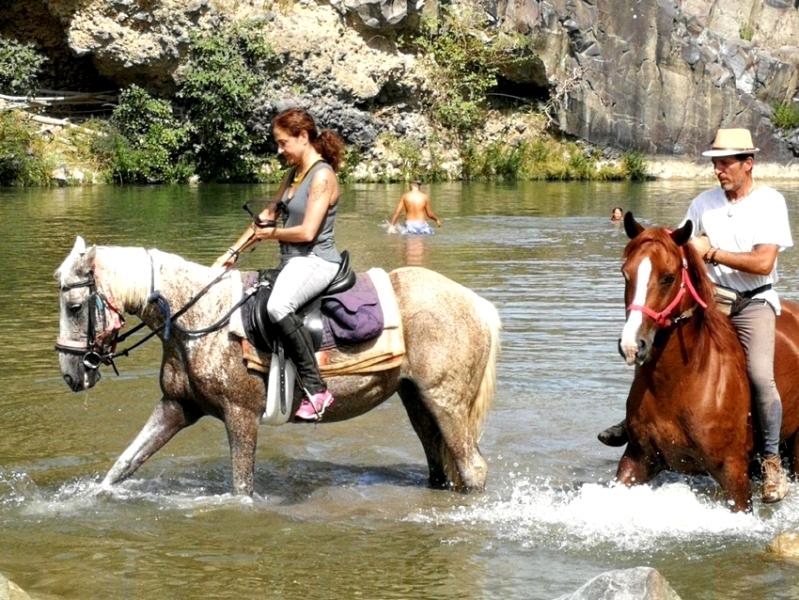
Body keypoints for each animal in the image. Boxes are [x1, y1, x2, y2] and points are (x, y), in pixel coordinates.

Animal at [53, 239, 500, 496]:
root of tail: (478, 305)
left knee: (473, 468)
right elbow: (122, 466)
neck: (201, 318)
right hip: (417, 401)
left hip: (446, 401)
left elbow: (241, 488)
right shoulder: (176, 407)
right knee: (440, 464)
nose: (72, 374)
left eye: (73, 307)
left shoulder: (240, 415)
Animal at [620, 213, 799, 508]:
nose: (632, 344)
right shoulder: (636, 460)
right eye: (626, 273)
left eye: (668, 278)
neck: (681, 381)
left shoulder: (733, 473)